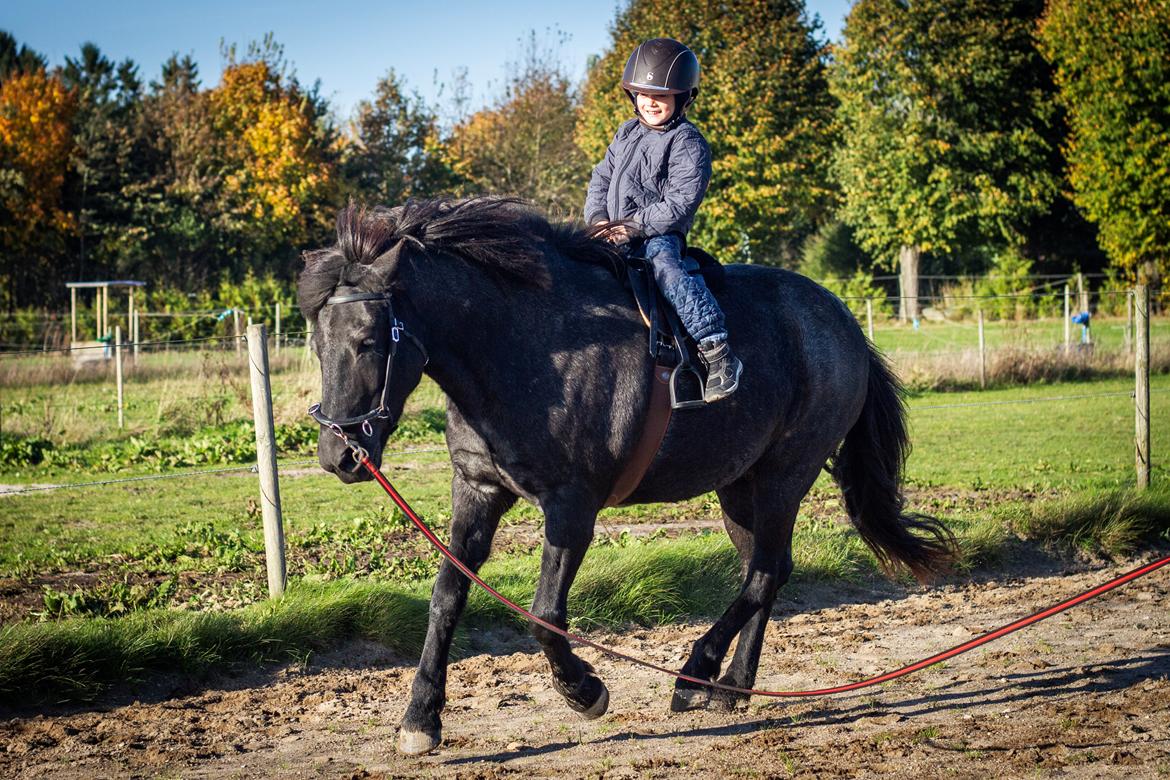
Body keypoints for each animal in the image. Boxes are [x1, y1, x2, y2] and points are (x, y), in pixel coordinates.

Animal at [297, 196, 954, 757]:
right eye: (316, 344)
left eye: (367, 340)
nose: (338, 455)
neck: (531, 347)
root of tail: (843, 322)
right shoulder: (478, 491)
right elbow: (446, 599)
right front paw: (421, 718)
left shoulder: (571, 508)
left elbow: (544, 614)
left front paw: (585, 691)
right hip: (738, 486)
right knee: (765, 573)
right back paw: (732, 687)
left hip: (783, 476)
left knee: (765, 572)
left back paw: (696, 673)